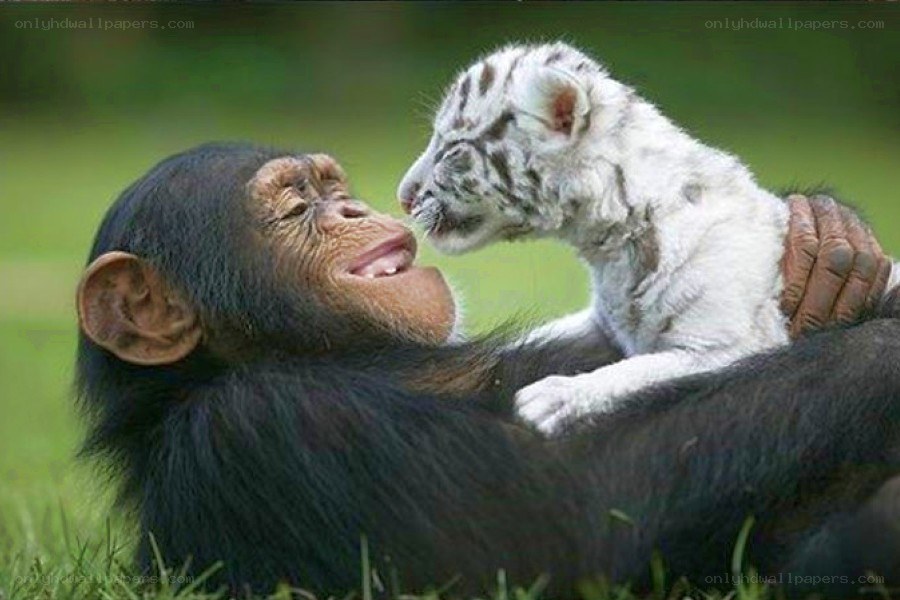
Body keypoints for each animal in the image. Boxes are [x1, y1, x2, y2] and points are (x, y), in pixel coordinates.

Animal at [397, 42, 897, 434]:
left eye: (452, 149)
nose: (403, 197)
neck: (612, 242)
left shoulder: (726, 345)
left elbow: (643, 370)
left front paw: (553, 397)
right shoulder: (601, 323)